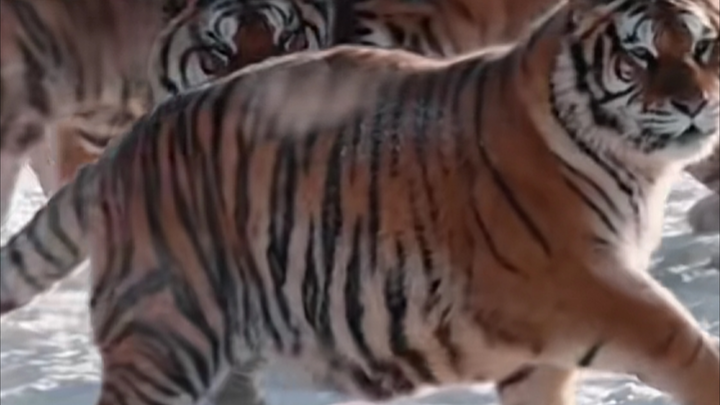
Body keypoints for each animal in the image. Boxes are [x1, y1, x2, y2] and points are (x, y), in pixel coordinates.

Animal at [1, 0, 720, 403]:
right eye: (639, 55)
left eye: (704, 47)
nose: (695, 103)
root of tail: (121, 155)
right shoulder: (581, 282)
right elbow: (683, 343)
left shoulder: (540, 352)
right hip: (164, 330)